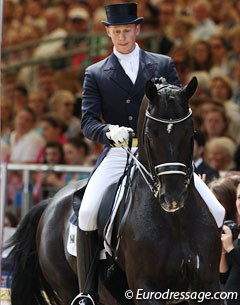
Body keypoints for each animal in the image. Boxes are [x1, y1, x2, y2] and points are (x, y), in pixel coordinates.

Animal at [6, 76, 223, 304]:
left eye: (191, 133)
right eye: (150, 135)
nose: (172, 197)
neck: (175, 222)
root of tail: (50, 202)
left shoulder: (208, 284)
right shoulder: (145, 287)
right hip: (66, 286)